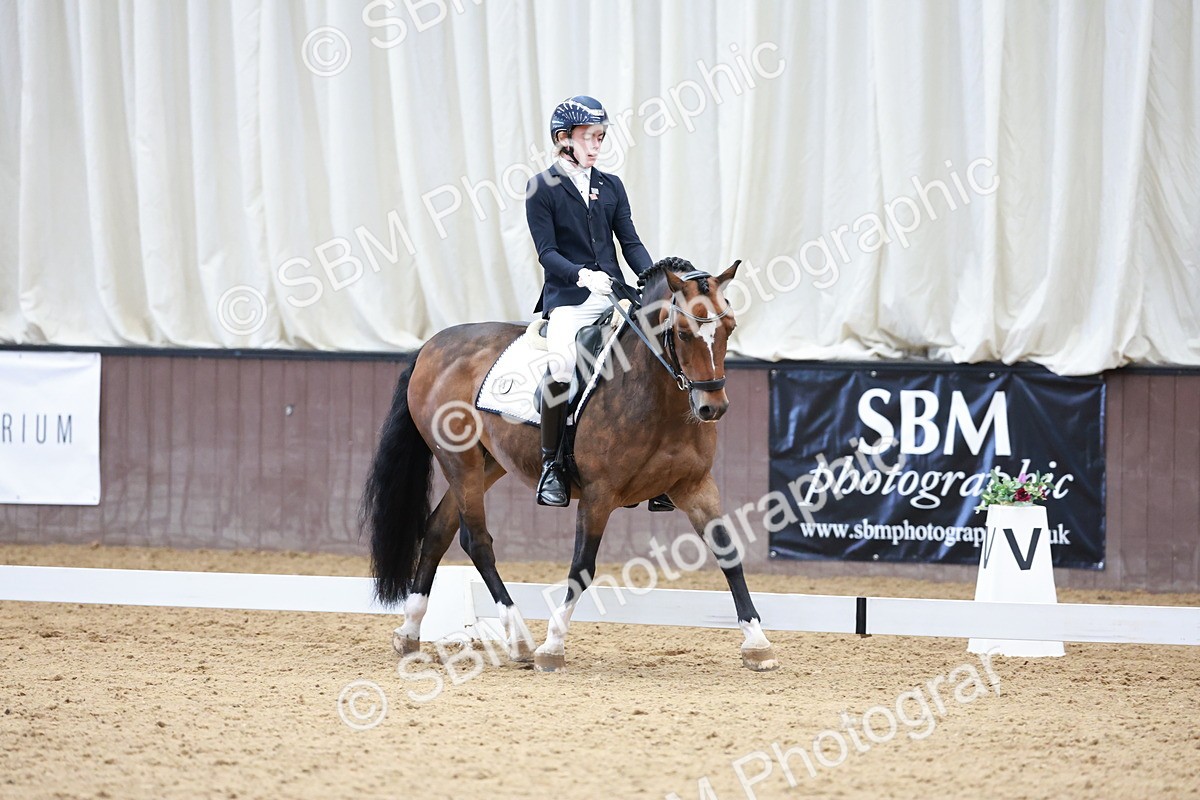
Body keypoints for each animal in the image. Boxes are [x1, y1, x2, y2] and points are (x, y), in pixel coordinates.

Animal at [361, 256, 780, 672]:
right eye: (681, 332)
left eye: (729, 327)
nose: (712, 408)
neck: (656, 395)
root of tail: (431, 345)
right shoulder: (598, 494)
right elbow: (581, 567)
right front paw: (553, 645)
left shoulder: (695, 486)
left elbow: (728, 553)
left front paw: (757, 641)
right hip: (457, 460)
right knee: (475, 540)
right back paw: (519, 639)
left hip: (487, 463)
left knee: (438, 531)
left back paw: (410, 631)